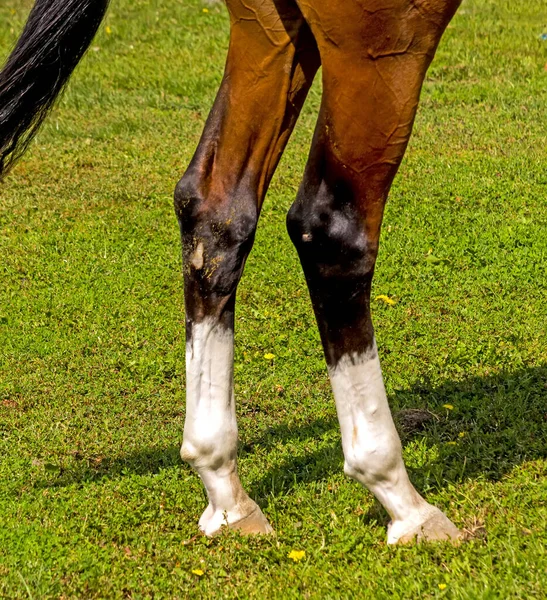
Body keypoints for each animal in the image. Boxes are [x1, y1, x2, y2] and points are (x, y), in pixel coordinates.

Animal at [0, 0, 464, 544]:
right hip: (380, 38)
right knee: (331, 229)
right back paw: (404, 502)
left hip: (268, 30)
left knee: (217, 213)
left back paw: (224, 491)